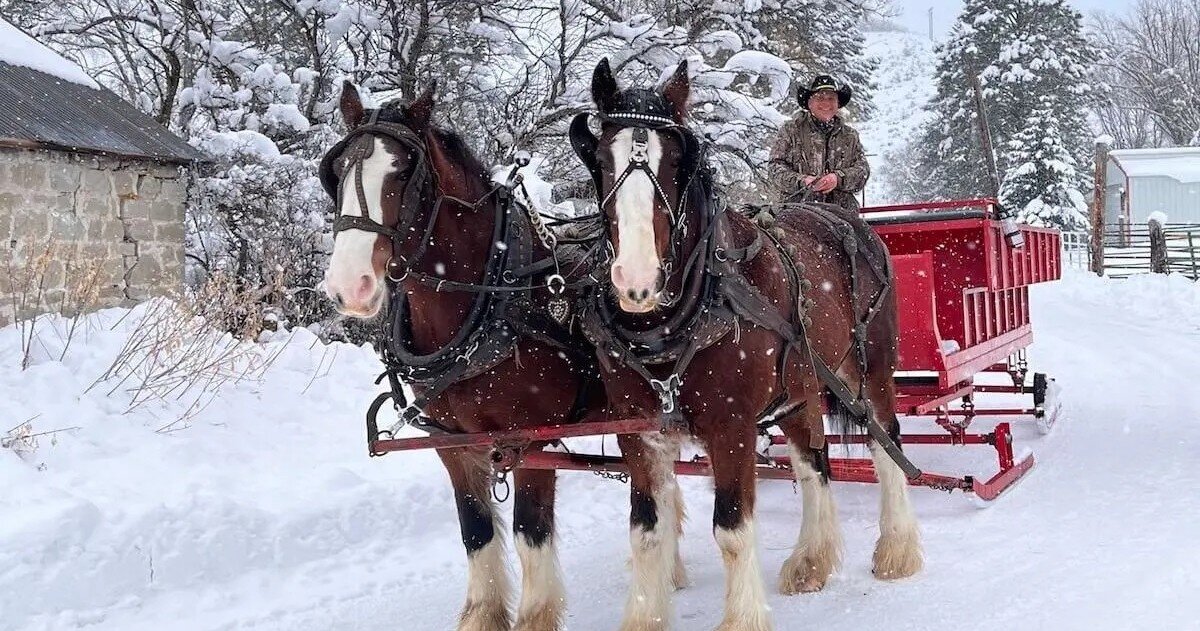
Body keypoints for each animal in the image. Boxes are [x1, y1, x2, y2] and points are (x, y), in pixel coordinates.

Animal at [321, 81, 604, 631]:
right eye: (338, 169)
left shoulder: (529, 439)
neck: (492, 300)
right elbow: (476, 531)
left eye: (402, 171)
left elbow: (529, 532)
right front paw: (482, 615)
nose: (350, 286)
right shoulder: (452, 443)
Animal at [568, 59, 923, 630]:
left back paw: (897, 549)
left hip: (870, 369)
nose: (636, 279)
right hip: (801, 385)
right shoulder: (639, 432)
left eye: (678, 162)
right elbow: (646, 532)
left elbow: (732, 530)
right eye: (600, 158)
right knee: (813, 459)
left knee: (884, 440)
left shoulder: (730, 426)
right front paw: (645, 614)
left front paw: (742, 617)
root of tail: (848, 220)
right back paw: (811, 559)